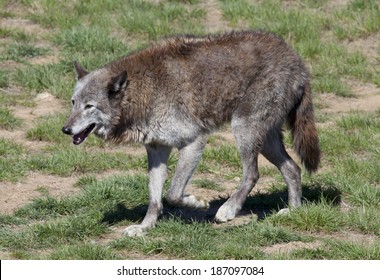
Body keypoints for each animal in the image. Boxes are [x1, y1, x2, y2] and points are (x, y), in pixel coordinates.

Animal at [63, 30, 320, 236]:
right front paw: (144, 228)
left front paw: (197, 202)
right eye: (74, 103)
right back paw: (293, 212)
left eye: (89, 106)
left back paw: (229, 209)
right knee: (293, 169)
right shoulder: (157, 151)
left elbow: (173, 194)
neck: (144, 92)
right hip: (265, 140)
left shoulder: (194, 142)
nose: (65, 129)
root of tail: (295, 58)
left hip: (243, 129)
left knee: (253, 173)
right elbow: (155, 200)